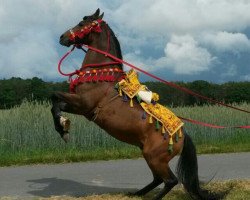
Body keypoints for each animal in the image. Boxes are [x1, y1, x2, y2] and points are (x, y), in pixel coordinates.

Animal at [51, 8, 224, 199]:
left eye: (82, 23)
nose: (62, 37)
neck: (101, 75)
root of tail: (183, 135)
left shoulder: (83, 104)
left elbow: (54, 98)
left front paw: (63, 129)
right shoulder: (80, 107)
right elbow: (56, 103)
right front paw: (63, 126)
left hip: (155, 158)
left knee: (170, 181)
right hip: (149, 156)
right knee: (158, 179)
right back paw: (136, 193)